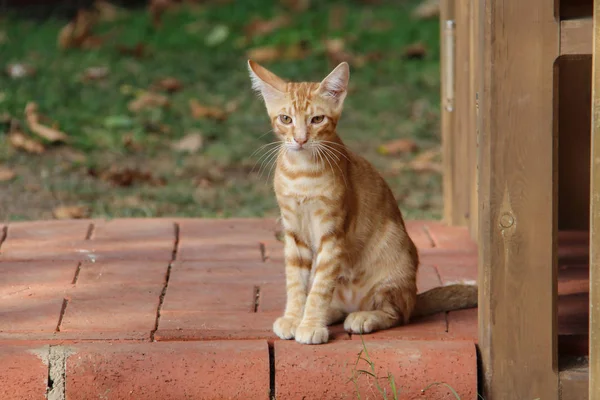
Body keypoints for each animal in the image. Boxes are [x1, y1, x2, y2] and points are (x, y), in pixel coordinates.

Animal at [246, 59, 476, 344]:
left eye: (317, 119)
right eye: (285, 119)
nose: (300, 140)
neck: (302, 172)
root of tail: (413, 297)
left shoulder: (332, 233)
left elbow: (320, 285)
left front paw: (309, 325)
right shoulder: (293, 231)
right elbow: (296, 280)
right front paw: (293, 318)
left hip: (394, 254)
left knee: (397, 313)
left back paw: (364, 317)